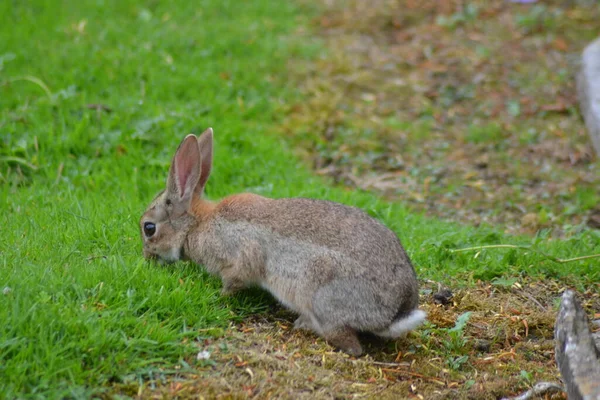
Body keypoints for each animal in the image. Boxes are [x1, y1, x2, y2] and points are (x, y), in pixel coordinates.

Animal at [139, 129, 426, 356]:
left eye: (148, 228)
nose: (146, 258)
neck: (196, 225)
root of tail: (395, 312)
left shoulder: (239, 254)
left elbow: (235, 280)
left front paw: (218, 296)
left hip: (321, 293)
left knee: (349, 344)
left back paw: (305, 325)